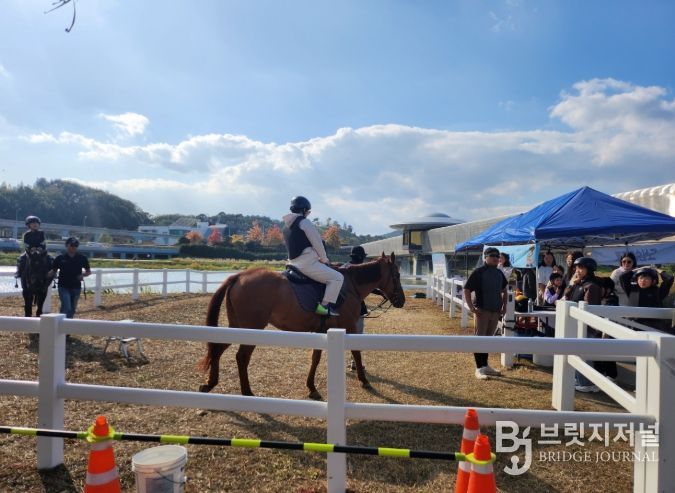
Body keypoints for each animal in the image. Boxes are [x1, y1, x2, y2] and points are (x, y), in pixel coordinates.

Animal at [198, 252, 405, 399]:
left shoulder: (322, 330)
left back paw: (210, 383)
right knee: (241, 357)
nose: (401, 300)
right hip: (251, 329)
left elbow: (315, 358)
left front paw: (312, 388)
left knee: (218, 349)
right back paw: (247, 392)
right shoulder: (349, 327)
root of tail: (239, 276)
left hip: (237, 327)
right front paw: (364, 380)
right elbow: (356, 352)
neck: (350, 285)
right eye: (397, 274)